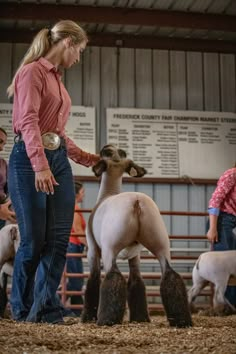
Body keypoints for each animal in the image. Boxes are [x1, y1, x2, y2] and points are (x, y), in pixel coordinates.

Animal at [81, 145, 192, 328]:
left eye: (108, 152)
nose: (105, 147)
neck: (107, 194)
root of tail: (137, 202)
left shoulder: (92, 249)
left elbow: (93, 279)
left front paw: (87, 317)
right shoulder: (135, 254)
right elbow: (136, 280)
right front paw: (139, 318)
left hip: (110, 247)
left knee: (113, 276)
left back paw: (106, 320)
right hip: (160, 242)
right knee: (170, 274)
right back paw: (181, 320)